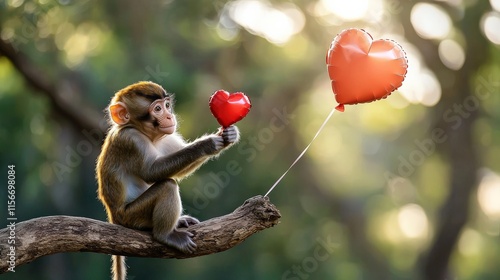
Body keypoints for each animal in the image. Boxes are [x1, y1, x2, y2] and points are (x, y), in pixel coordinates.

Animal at [95, 81, 240, 280]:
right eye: (157, 109)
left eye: (167, 105)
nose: (169, 116)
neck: (146, 134)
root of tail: (113, 217)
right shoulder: (131, 140)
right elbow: (151, 172)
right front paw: (208, 143)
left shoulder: (168, 136)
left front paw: (229, 136)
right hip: (131, 216)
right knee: (167, 186)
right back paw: (165, 235)